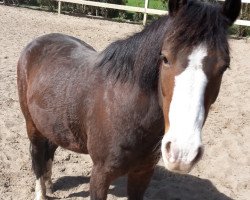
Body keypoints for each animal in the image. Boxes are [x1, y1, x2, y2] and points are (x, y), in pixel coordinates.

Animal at [16, 0, 241, 199]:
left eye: (224, 66)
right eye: (165, 58)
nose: (182, 152)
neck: (127, 109)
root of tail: (36, 44)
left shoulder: (142, 173)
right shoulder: (100, 176)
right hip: (32, 126)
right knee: (37, 155)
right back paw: (41, 192)